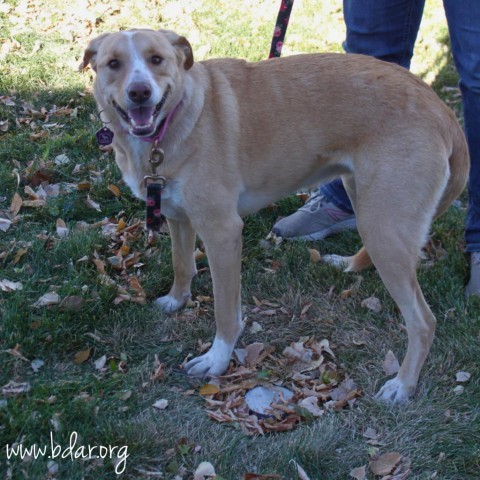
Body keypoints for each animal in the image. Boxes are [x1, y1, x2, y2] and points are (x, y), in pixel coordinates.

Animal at [81, 29, 468, 404]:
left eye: (156, 59)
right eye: (113, 63)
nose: (139, 92)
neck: (172, 124)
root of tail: (442, 110)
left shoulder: (223, 232)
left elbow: (226, 313)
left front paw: (217, 360)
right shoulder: (178, 216)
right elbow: (181, 264)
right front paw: (178, 299)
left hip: (382, 224)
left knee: (423, 322)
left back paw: (403, 385)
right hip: (365, 200)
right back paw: (346, 264)